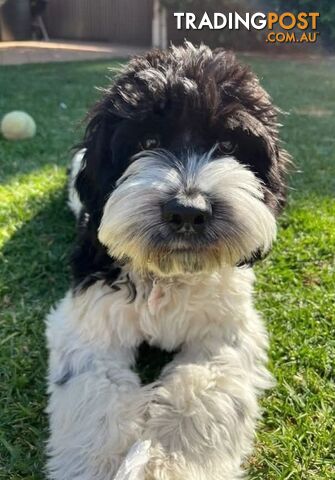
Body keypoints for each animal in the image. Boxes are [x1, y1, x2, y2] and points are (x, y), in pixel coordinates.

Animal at [46, 43, 288, 478]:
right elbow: (97, 395)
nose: (188, 211)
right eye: (147, 140)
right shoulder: (91, 322)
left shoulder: (222, 334)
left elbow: (199, 395)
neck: (169, 272)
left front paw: (167, 462)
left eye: (228, 147)